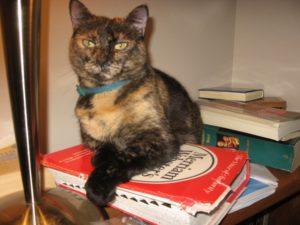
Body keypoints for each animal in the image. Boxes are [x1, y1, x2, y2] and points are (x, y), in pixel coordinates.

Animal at [69, 0, 203, 207]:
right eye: (89, 42)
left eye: (121, 45)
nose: (102, 61)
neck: (106, 97)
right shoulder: (90, 138)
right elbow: (106, 147)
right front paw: (101, 158)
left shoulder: (159, 139)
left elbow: (123, 159)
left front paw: (98, 187)